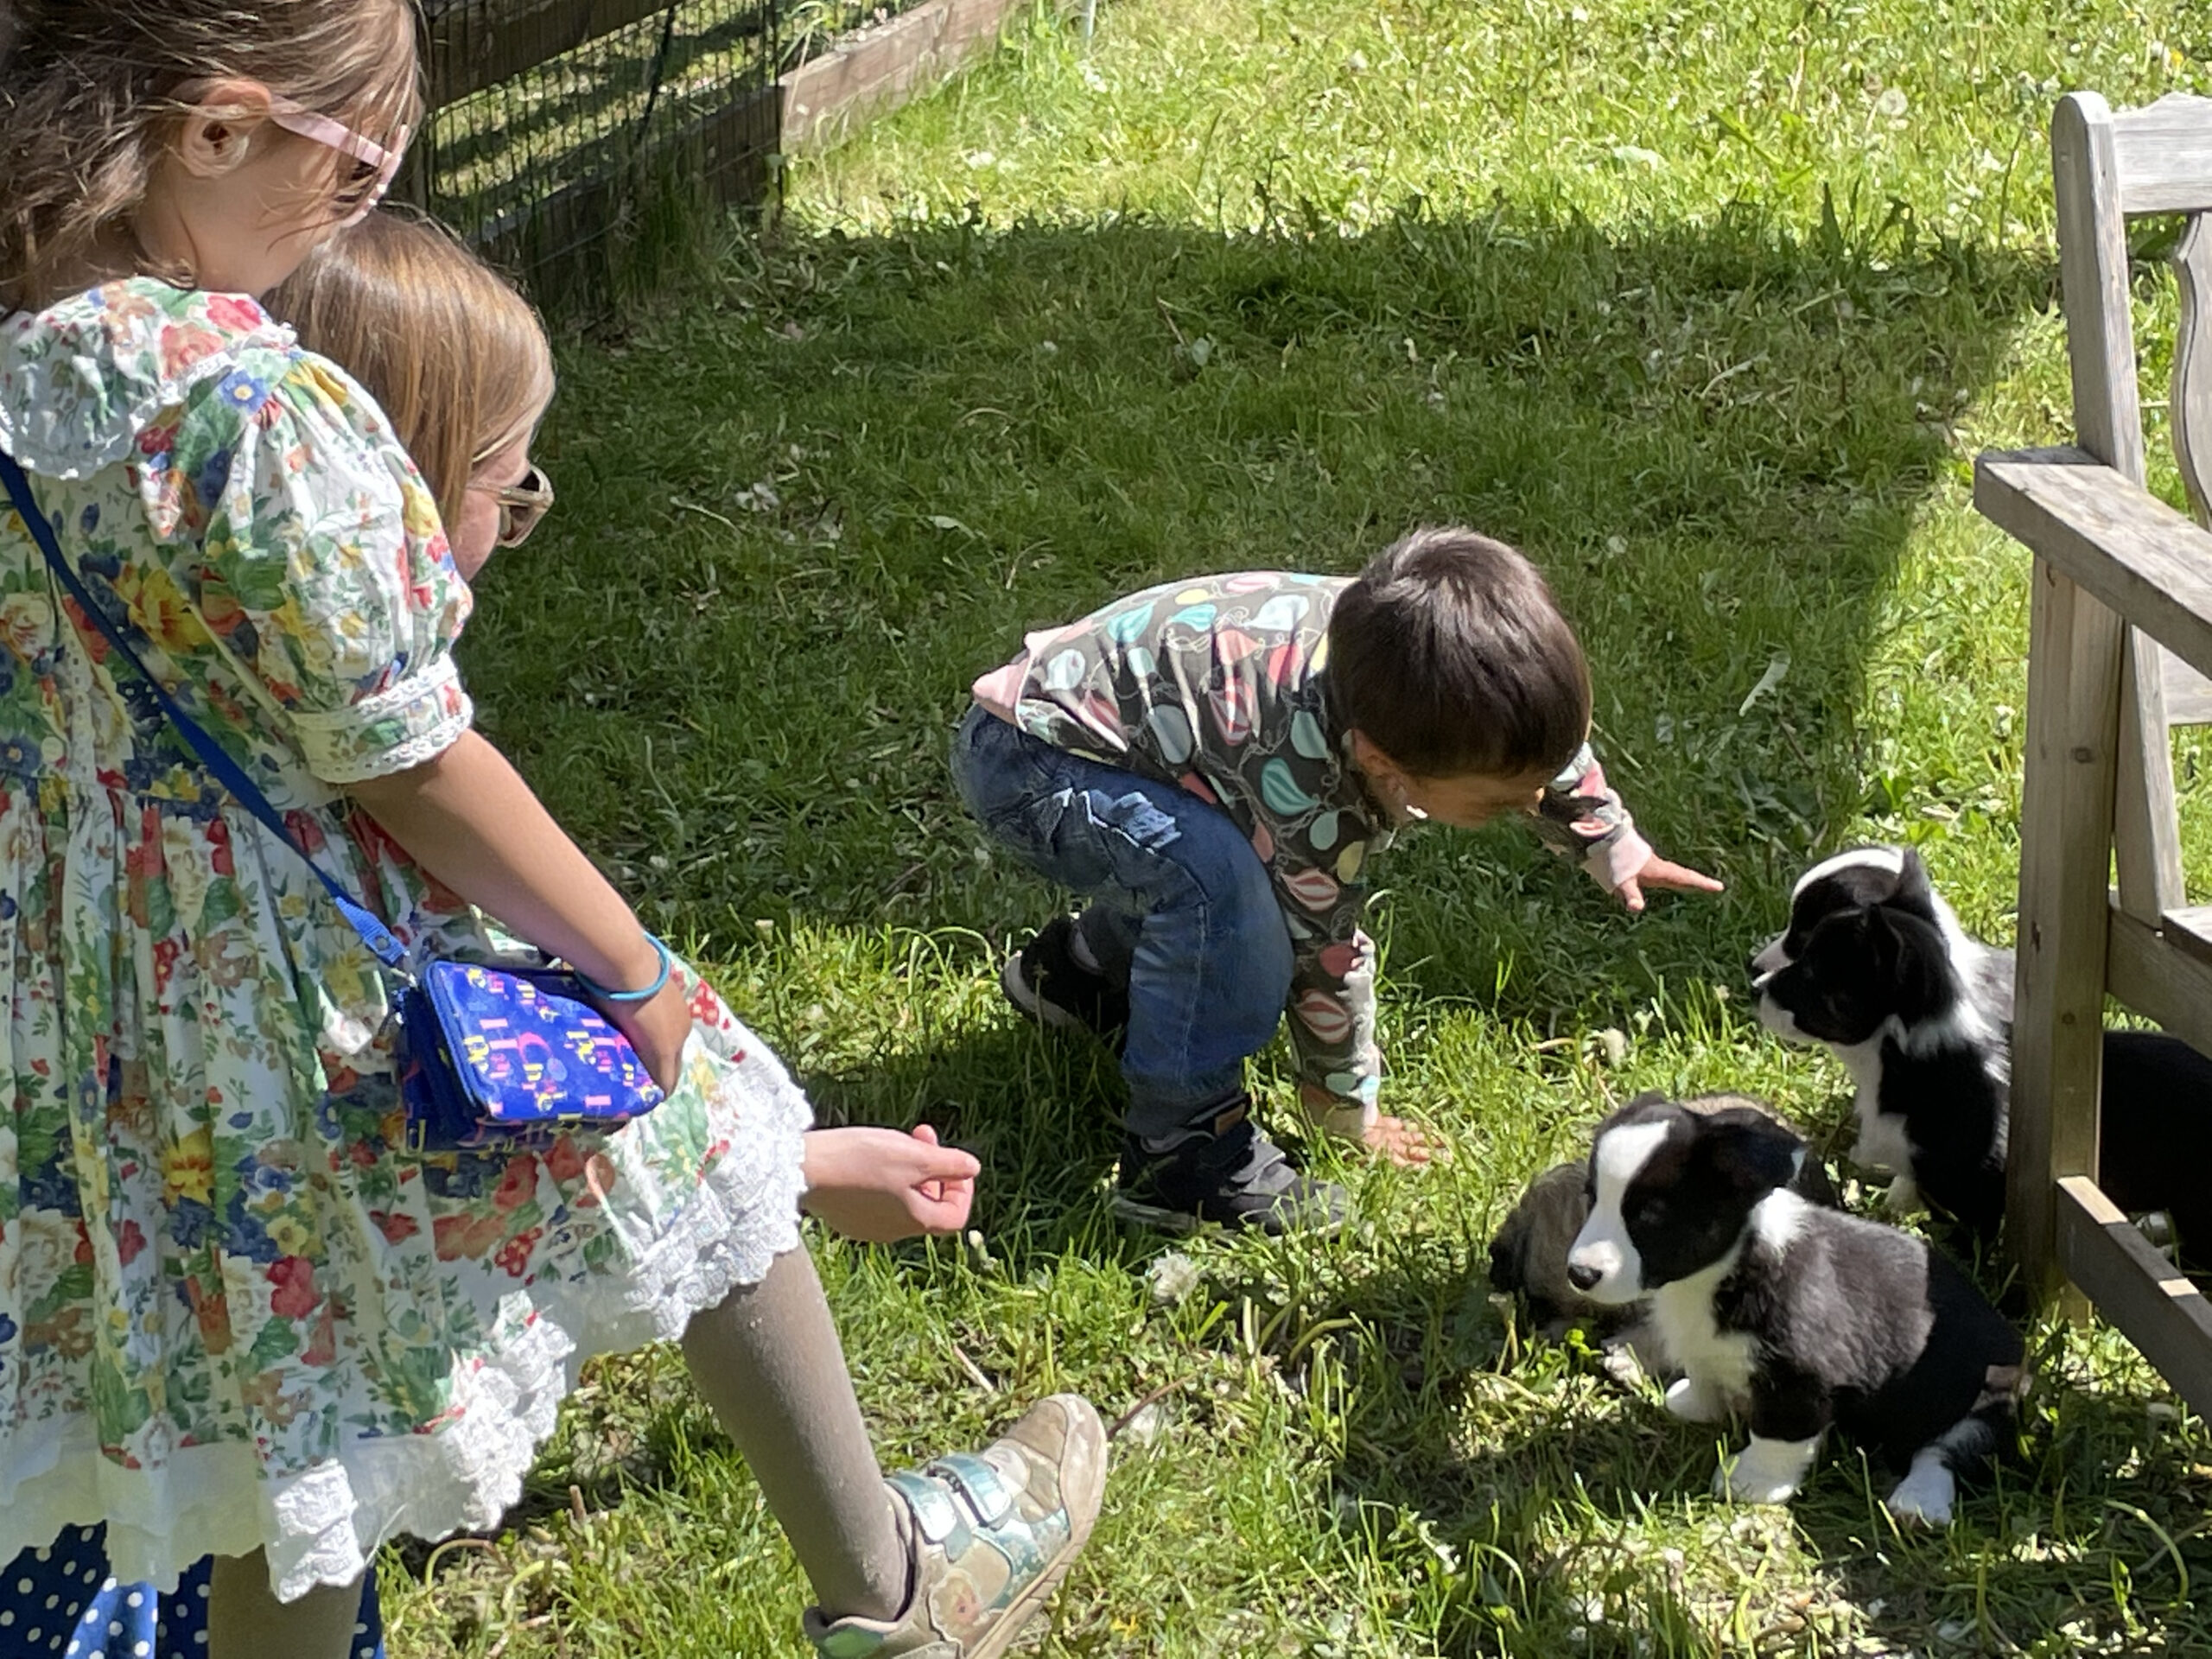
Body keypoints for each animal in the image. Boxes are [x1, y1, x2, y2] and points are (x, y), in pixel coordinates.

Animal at [1566, 1096, 2025, 1530]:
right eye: (1591, 1197)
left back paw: (1918, 1503)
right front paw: (1693, 1404)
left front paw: (1750, 1482)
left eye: (1650, 1216)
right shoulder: (1703, 1348)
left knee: (1945, 1452)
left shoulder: (1798, 1378)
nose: (1579, 1274)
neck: (1723, 1271)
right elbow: (1703, 1375)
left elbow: (1777, 1436)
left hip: (1984, 1401)